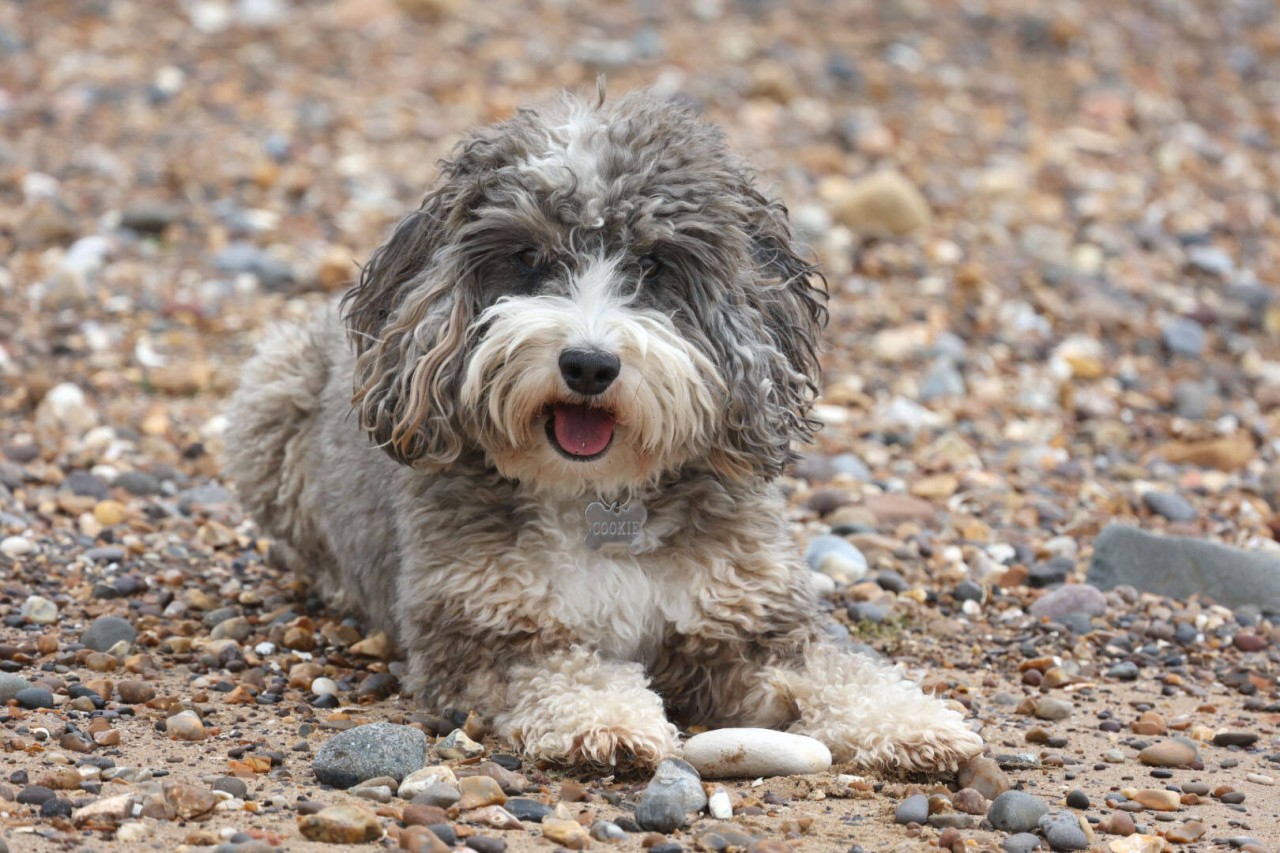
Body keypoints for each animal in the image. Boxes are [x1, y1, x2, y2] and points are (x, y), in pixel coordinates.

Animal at [222, 87, 977, 768]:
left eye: (652, 264)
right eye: (528, 257)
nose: (588, 363)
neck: (597, 496)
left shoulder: (751, 618)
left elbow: (835, 669)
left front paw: (909, 721)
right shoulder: (481, 629)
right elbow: (565, 670)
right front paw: (605, 719)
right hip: (269, 392)